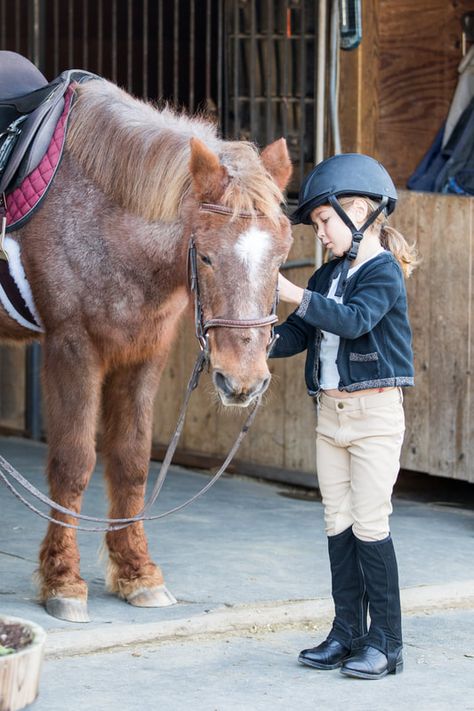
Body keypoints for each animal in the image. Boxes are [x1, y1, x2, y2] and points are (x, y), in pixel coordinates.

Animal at [0, 75, 292, 620]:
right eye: (206, 255)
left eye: (282, 256)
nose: (242, 381)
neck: (104, 216)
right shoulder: (72, 348)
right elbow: (73, 463)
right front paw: (62, 581)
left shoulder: (144, 354)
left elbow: (132, 462)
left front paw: (137, 573)